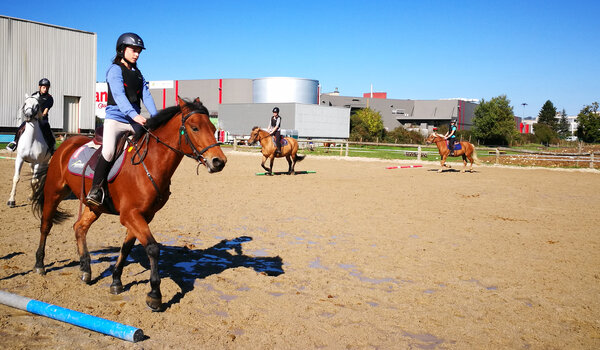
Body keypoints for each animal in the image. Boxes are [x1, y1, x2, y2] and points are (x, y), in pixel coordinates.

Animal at [31, 97, 226, 310]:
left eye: (212, 128)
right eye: (195, 127)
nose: (219, 161)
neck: (149, 164)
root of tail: (66, 143)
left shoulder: (143, 215)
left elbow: (126, 247)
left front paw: (116, 281)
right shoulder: (130, 215)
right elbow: (153, 248)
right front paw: (154, 294)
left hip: (95, 206)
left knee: (79, 227)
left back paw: (85, 268)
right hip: (53, 193)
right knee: (45, 226)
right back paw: (40, 265)